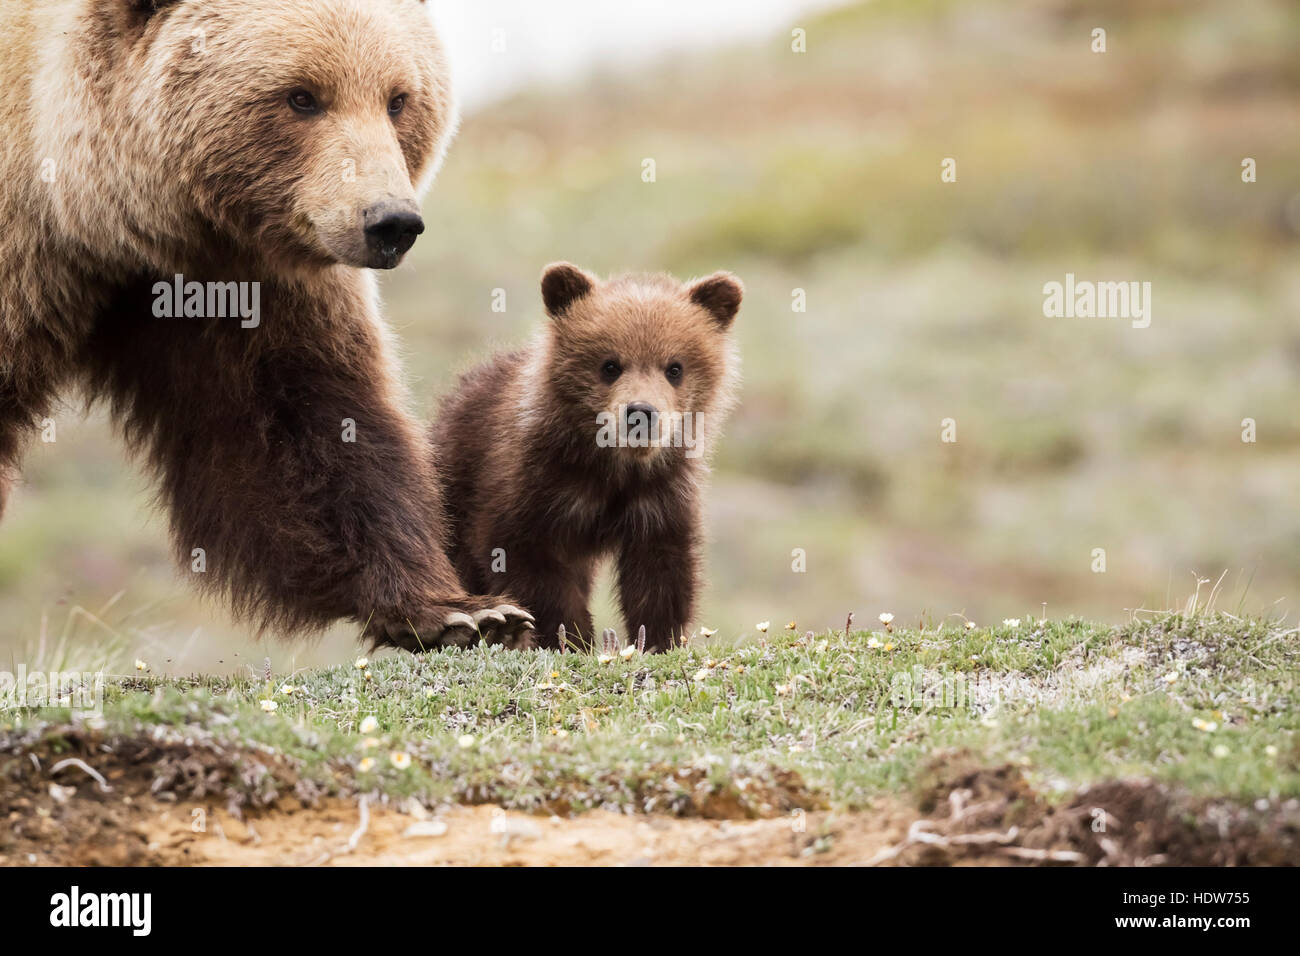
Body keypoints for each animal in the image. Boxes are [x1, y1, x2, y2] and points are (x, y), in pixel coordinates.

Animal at [0, 0, 533, 649]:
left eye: (398, 98)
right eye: (302, 96)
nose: (391, 222)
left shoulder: (239, 283)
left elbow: (298, 421)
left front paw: (462, 612)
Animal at [430, 262, 743, 652]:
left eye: (675, 367)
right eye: (610, 365)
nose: (641, 412)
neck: (610, 467)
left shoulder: (661, 496)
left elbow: (660, 574)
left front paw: (658, 640)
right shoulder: (530, 489)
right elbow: (531, 567)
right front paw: (571, 638)